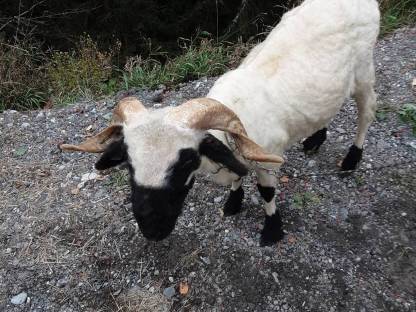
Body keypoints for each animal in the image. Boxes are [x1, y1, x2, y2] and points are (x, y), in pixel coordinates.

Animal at [60, 0, 382, 245]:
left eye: (186, 161)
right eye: (129, 163)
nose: (153, 231)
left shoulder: (268, 160)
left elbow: (267, 193)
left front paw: (272, 231)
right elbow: (238, 178)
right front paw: (233, 203)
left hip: (364, 70)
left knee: (367, 111)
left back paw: (352, 159)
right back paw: (315, 139)